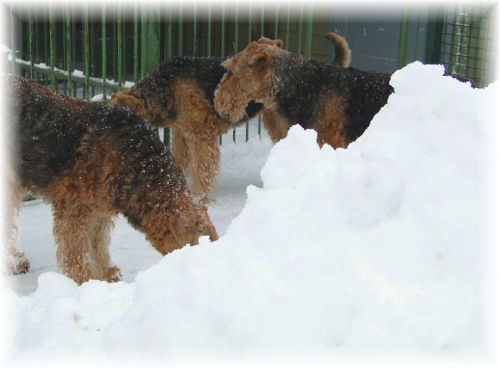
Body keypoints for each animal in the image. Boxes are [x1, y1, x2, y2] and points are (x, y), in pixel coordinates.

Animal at [2, 74, 217, 282]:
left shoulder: (100, 209)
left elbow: (98, 244)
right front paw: (84, 281)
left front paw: (106, 273)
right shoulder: (73, 209)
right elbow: (76, 251)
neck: (138, 163)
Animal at [109, 33, 352, 201]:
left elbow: (203, 168)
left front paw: (199, 196)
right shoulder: (181, 132)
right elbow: (180, 159)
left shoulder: (202, 136)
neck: (165, 88)